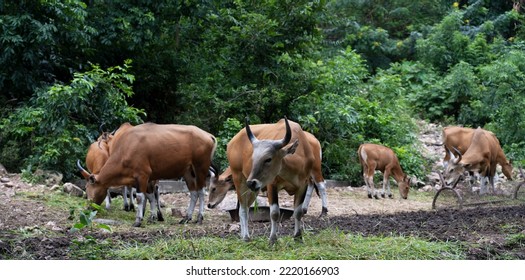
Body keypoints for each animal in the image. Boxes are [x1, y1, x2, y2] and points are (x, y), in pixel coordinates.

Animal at [76, 121, 215, 226]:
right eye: (86, 188)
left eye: (90, 188)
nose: (88, 208)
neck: (127, 147)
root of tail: (209, 136)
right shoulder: (146, 178)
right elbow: (150, 196)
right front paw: (152, 217)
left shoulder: (142, 175)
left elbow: (139, 197)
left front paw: (138, 220)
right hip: (188, 172)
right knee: (193, 193)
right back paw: (186, 218)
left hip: (200, 168)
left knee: (201, 192)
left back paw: (199, 218)